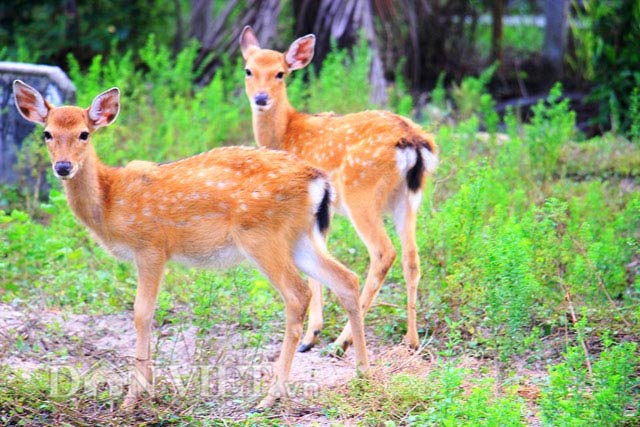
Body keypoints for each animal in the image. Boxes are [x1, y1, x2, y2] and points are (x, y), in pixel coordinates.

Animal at [12, 80, 368, 412]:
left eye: (84, 134)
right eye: (47, 134)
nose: (63, 167)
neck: (111, 200)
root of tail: (318, 180)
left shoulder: (151, 246)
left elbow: (141, 313)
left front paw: (134, 396)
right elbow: (147, 313)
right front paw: (149, 387)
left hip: (261, 234)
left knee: (297, 294)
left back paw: (271, 395)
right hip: (301, 237)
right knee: (346, 278)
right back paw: (362, 375)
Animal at [240, 25, 440, 354]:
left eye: (280, 73)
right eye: (248, 70)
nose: (261, 98)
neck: (286, 134)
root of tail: (412, 142)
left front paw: (310, 336)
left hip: (361, 192)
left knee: (384, 253)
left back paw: (342, 341)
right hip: (409, 199)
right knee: (412, 258)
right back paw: (411, 340)